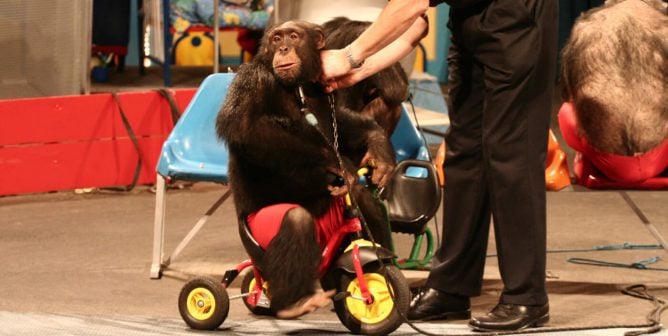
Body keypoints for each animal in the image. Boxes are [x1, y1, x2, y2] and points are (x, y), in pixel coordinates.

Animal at [217, 19, 396, 318]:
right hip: (257, 231)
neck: (295, 87)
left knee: (362, 201)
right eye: (276, 38)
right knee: (295, 220)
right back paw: (294, 301)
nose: (284, 48)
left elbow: (341, 121)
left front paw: (378, 146)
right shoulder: (251, 80)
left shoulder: (325, 89)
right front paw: (339, 163)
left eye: (293, 36)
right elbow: (245, 127)